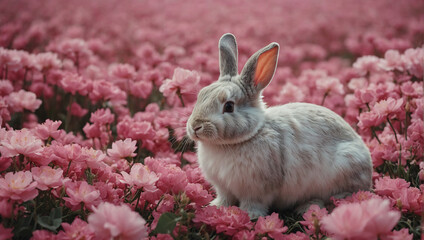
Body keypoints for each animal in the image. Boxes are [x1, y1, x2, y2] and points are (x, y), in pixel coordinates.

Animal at [186, 32, 372, 218]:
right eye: (201, 95)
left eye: (229, 106)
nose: (195, 126)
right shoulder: (223, 188)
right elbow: (224, 199)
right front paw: (214, 207)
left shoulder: (257, 190)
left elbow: (254, 203)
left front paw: (249, 215)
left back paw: (309, 206)